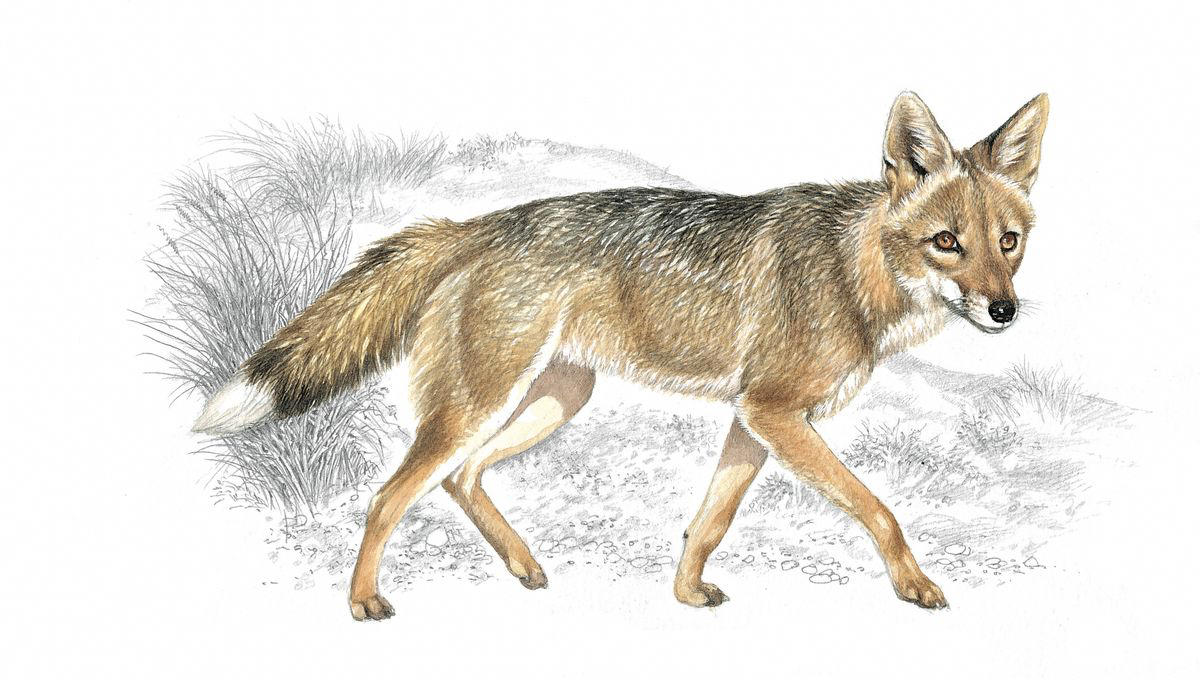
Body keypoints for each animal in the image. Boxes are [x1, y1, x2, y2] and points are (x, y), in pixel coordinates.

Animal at [194, 92, 1050, 620]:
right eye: (948, 243)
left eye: (1008, 243)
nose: (1005, 311)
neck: (854, 266)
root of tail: (476, 224)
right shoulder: (775, 413)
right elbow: (879, 508)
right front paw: (916, 585)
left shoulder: (754, 421)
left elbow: (708, 520)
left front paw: (685, 594)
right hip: (478, 404)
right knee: (388, 493)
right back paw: (364, 602)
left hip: (555, 399)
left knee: (462, 479)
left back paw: (523, 565)